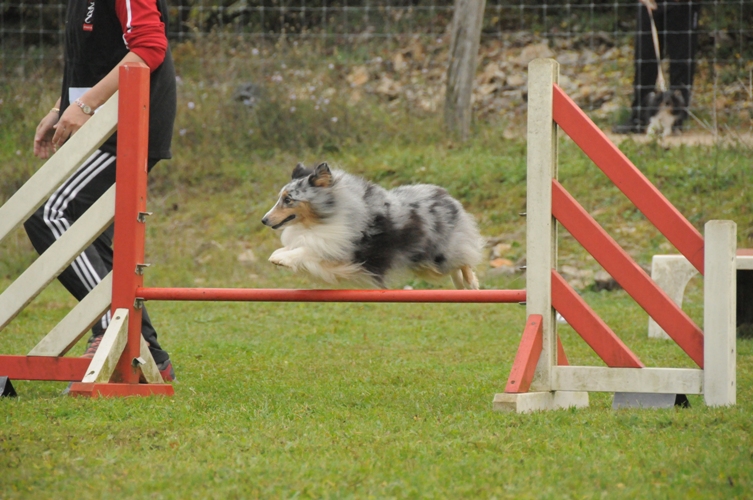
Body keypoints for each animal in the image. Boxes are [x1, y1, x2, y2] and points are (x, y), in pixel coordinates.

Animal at [262, 163, 482, 290]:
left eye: (288, 199)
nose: (264, 220)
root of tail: (446, 195)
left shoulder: (343, 254)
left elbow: (308, 251)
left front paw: (281, 258)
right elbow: (298, 246)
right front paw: (279, 254)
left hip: (440, 254)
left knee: (465, 258)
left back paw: (471, 283)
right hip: (426, 264)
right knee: (456, 266)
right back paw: (460, 285)